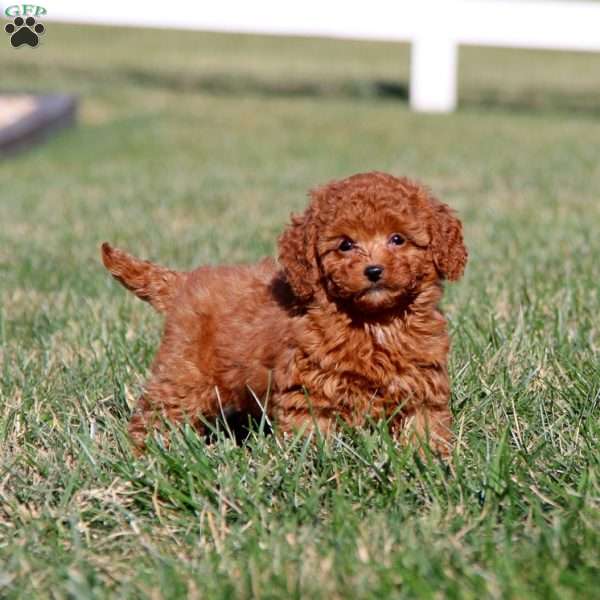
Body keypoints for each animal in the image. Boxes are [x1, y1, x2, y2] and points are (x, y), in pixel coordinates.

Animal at [102, 173, 468, 454]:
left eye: (398, 239)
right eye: (345, 245)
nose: (374, 270)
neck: (373, 322)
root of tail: (184, 281)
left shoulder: (421, 385)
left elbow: (424, 427)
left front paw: (431, 460)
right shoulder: (308, 390)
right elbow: (312, 436)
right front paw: (315, 466)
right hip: (182, 373)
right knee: (156, 415)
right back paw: (144, 455)